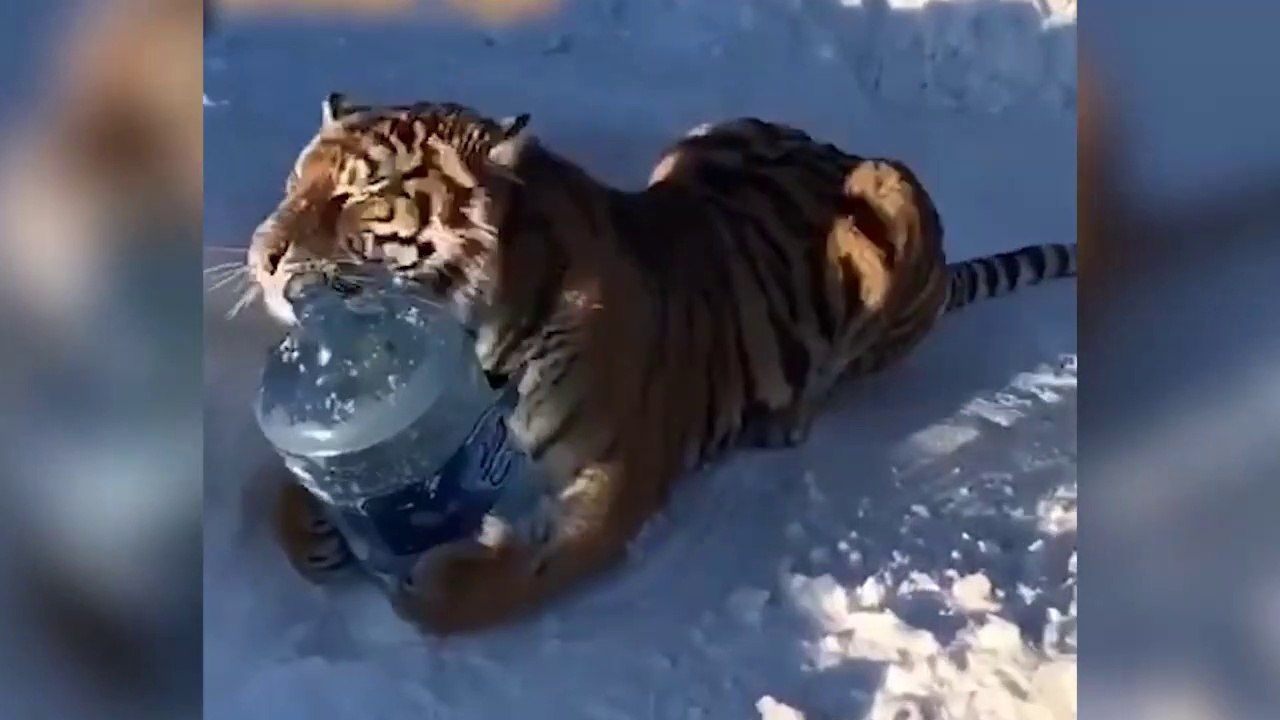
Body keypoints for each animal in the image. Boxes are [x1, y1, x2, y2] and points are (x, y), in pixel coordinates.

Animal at [247, 93, 1077, 635]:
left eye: (362, 194)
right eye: (294, 184)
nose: (262, 257)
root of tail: (834, 149)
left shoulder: (609, 485)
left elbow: (505, 584)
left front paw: (435, 583)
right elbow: (288, 501)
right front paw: (315, 526)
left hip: (893, 192)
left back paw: (787, 416)